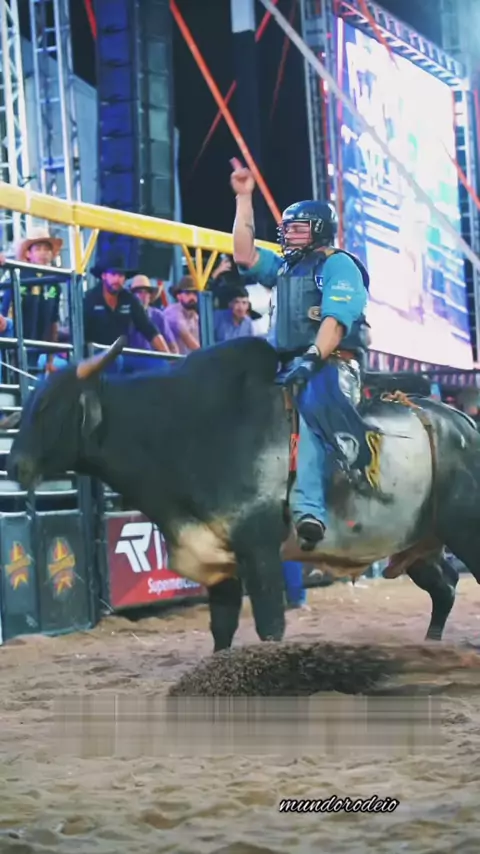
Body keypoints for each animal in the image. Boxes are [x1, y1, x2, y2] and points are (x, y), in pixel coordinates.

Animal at [6, 335, 479, 652]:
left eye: (46, 407)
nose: (15, 465)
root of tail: (461, 422)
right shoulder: (217, 556)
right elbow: (222, 629)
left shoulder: (260, 550)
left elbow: (270, 626)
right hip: (420, 542)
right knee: (445, 586)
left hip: (462, 530)